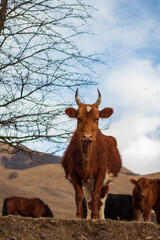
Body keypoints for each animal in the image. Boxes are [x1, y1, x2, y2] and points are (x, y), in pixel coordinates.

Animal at [61, 88, 121, 219]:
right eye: (78, 118)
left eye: (97, 118)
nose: (87, 136)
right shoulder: (74, 173)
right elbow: (80, 195)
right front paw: (79, 217)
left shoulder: (101, 172)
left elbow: (96, 195)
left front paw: (94, 217)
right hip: (87, 183)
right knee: (88, 199)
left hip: (106, 182)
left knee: (101, 200)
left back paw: (101, 218)